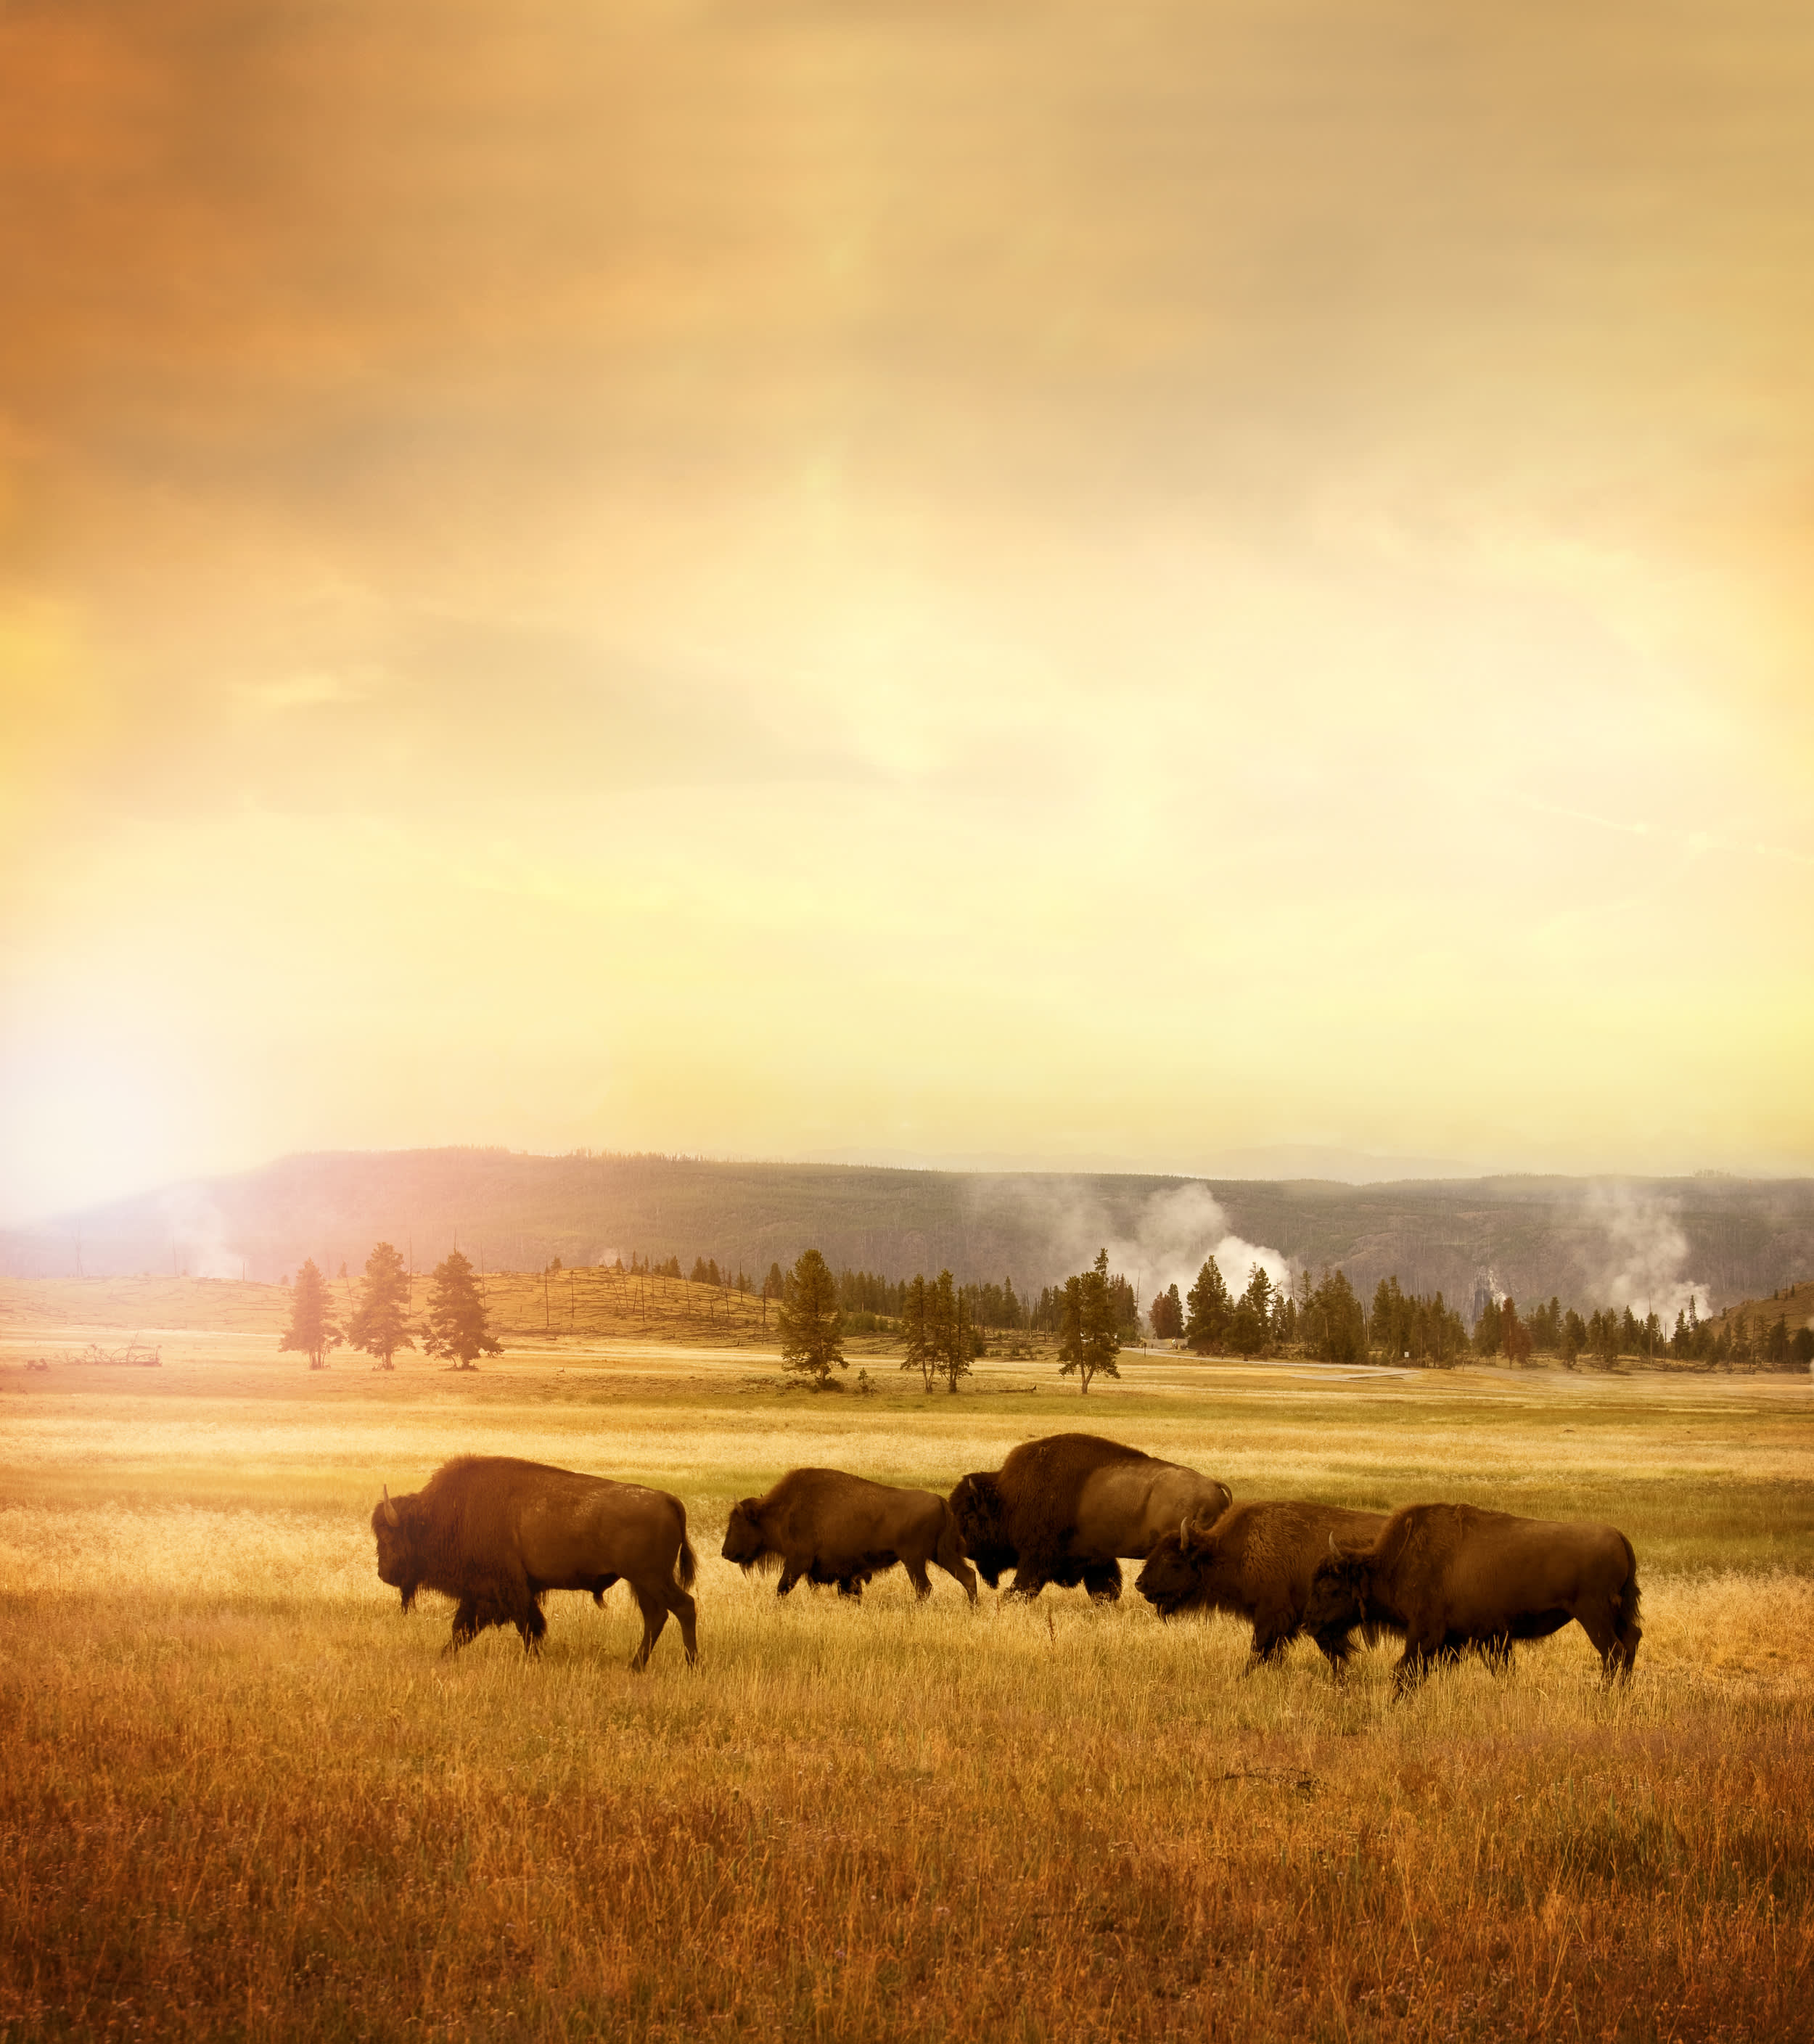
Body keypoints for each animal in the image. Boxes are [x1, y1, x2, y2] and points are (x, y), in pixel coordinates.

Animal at [372, 1447, 699, 1667]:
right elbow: (462, 1629)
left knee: (684, 1607)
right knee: (656, 1617)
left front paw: (534, 1659)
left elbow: (526, 1626)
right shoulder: (484, 1593)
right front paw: (443, 1656)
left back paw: (692, 1665)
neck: (441, 1516)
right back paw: (636, 1666)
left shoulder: (507, 1588)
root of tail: (667, 1499)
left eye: (389, 1537)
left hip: (652, 1578)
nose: (383, 1574)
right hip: (641, 1583)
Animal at [723, 1472, 977, 1610]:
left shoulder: (797, 1562)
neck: (784, 1510)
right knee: (967, 1576)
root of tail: (939, 1500)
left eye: (737, 1523)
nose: (725, 1552)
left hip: (913, 1559)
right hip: (940, 1554)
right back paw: (974, 1609)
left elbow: (782, 1587)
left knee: (924, 1587)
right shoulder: (845, 1574)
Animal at [948, 1430, 1235, 1602]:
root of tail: (1214, 1487)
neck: (1008, 1497)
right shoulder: (1097, 1558)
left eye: (969, 1515)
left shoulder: (1036, 1557)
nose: (963, 1548)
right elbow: (1105, 1589)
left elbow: (1023, 1586)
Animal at [1308, 1504, 1644, 1692]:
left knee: (1613, 1652)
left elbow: (1405, 1671)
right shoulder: (1489, 1638)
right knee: (1631, 1641)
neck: (1395, 1563)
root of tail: (1619, 1536)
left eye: (1331, 1587)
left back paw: (1604, 1694)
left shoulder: (1426, 1634)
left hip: (1593, 1614)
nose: (1311, 1624)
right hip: (1615, 1614)